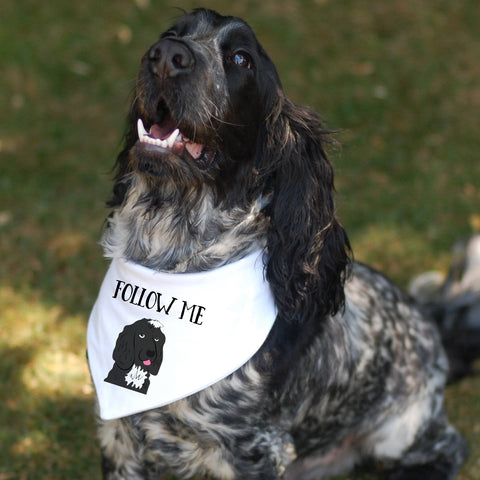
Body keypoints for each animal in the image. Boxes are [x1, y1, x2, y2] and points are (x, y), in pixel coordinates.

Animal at [91, 8, 476, 480]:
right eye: (170, 33)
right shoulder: (120, 439)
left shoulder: (253, 450)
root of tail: (432, 323)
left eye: (241, 59)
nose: (165, 56)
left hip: (401, 429)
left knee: (450, 446)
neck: (171, 259)